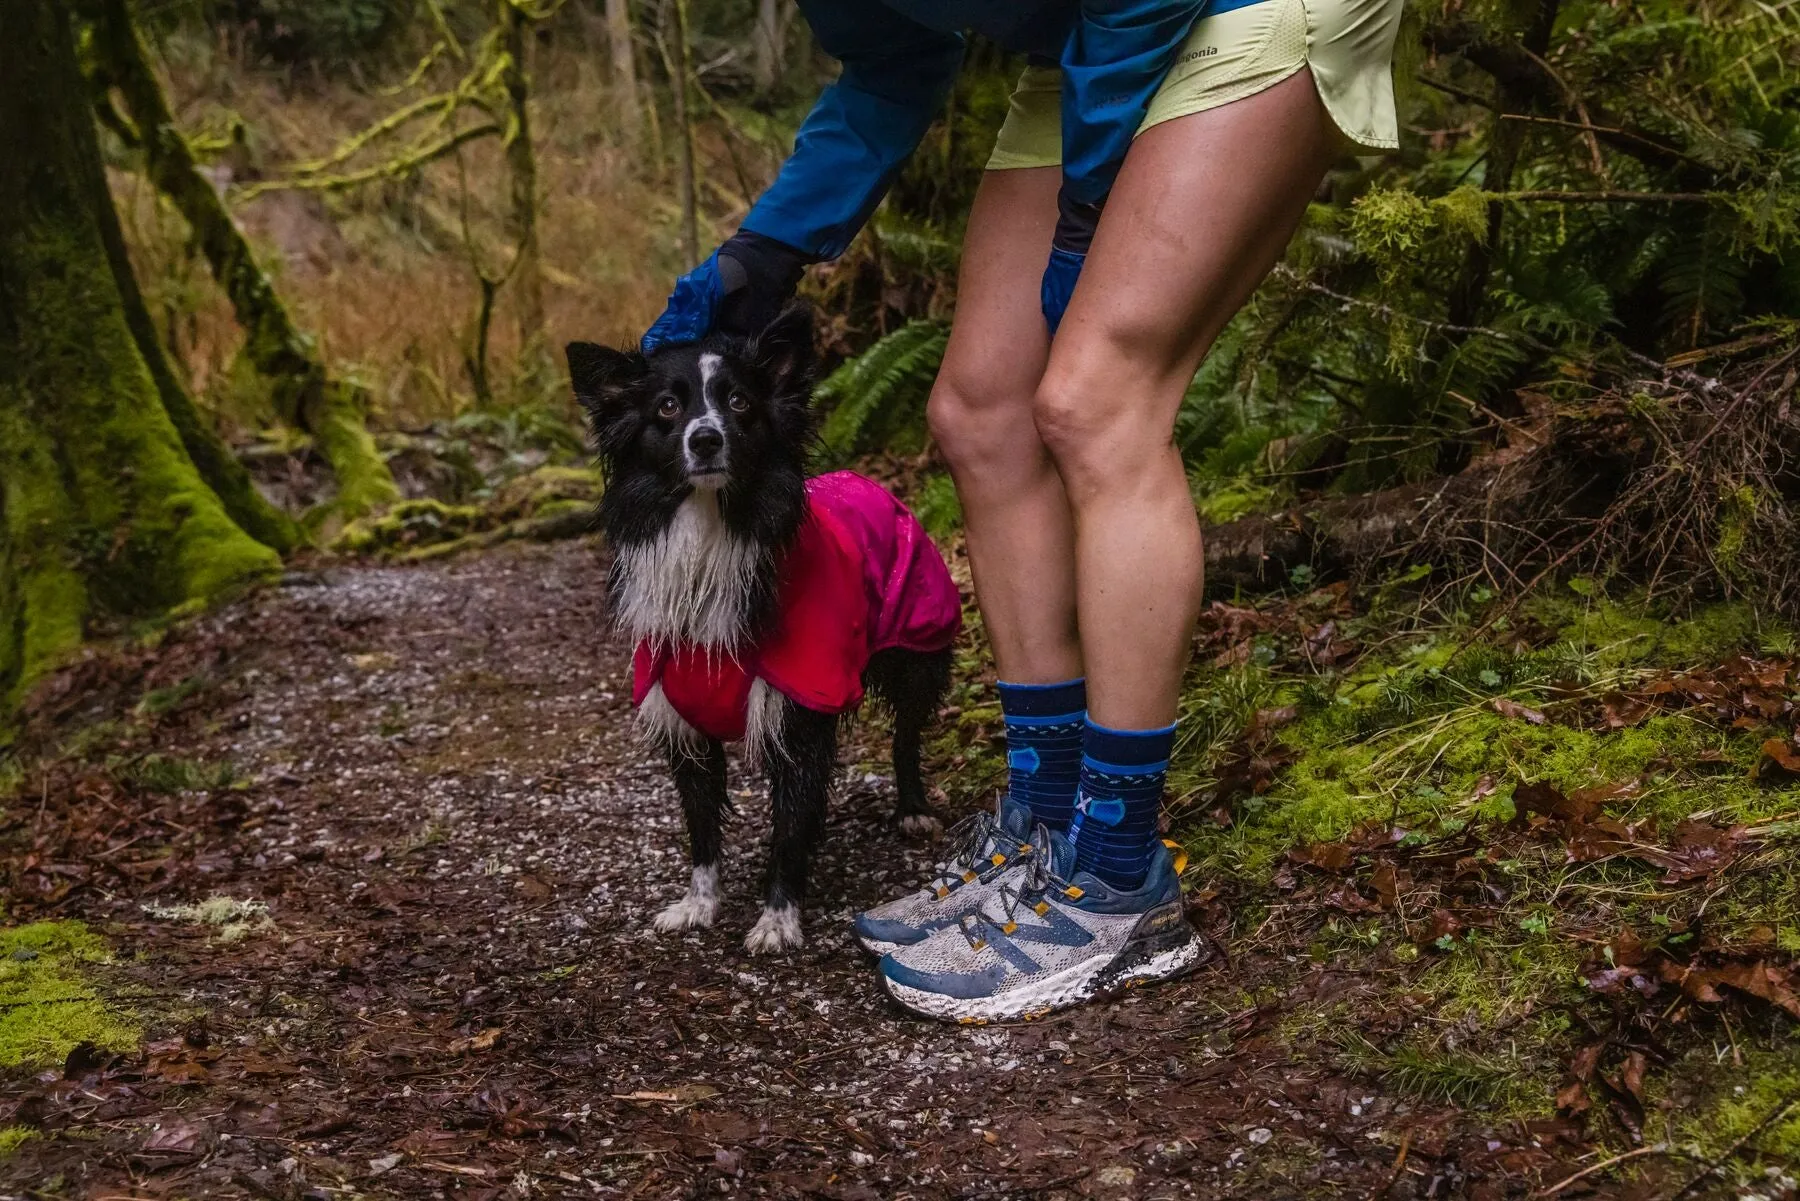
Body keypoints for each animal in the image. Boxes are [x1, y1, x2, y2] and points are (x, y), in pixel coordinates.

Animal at [568, 306, 964, 950]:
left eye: (739, 402)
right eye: (667, 407)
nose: (706, 438)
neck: (710, 526)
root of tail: (867, 480)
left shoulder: (800, 708)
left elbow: (788, 829)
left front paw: (777, 918)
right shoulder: (681, 721)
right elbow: (702, 826)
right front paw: (699, 904)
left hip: (918, 650)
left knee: (906, 736)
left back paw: (912, 808)